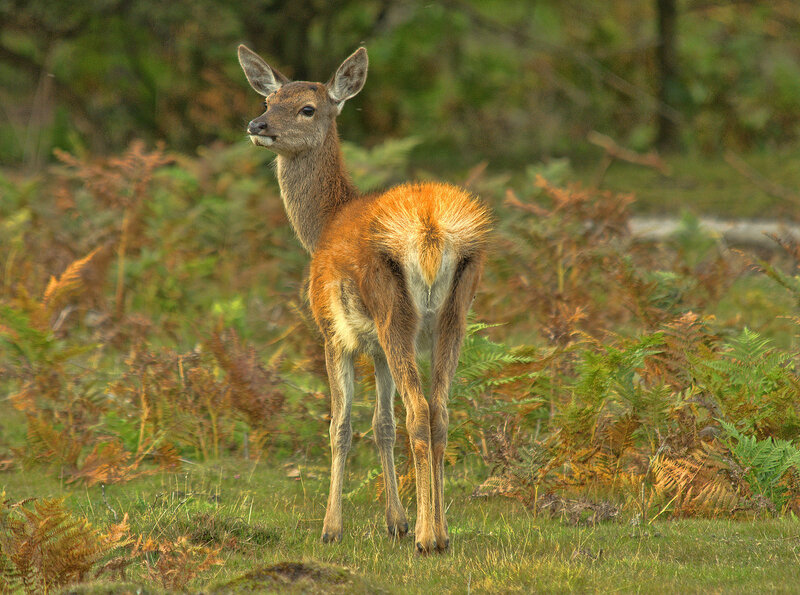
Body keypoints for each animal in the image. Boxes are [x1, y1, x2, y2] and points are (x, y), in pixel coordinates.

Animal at [237, 44, 491, 554]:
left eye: (307, 108)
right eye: (268, 100)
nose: (258, 126)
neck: (323, 225)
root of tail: (431, 229)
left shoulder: (333, 333)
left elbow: (341, 427)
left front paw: (332, 527)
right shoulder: (374, 348)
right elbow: (382, 426)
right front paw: (394, 522)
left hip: (394, 312)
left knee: (420, 411)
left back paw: (426, 537)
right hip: (453, 315)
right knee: (440, 410)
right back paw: (441, 532)